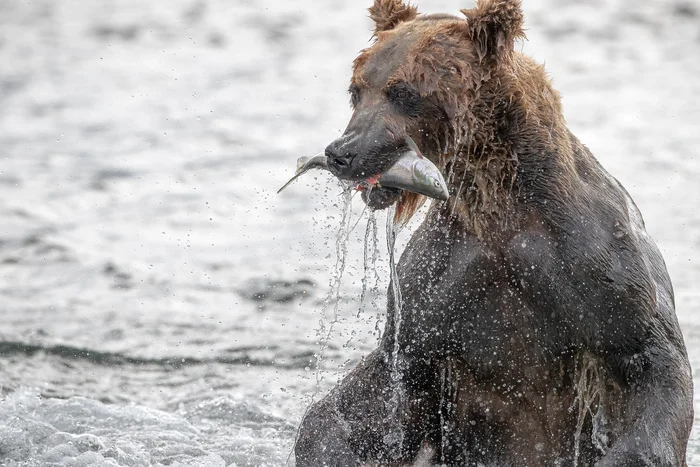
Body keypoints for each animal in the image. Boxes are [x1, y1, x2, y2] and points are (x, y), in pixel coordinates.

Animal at [292, 0, 692, 467]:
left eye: (404, 92)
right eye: (356, 90)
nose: (342, 152)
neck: (497, 205)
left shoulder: (596, 268)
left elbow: (651, 360)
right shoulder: (436, 293)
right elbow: (372, 394)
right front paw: (332, 442)